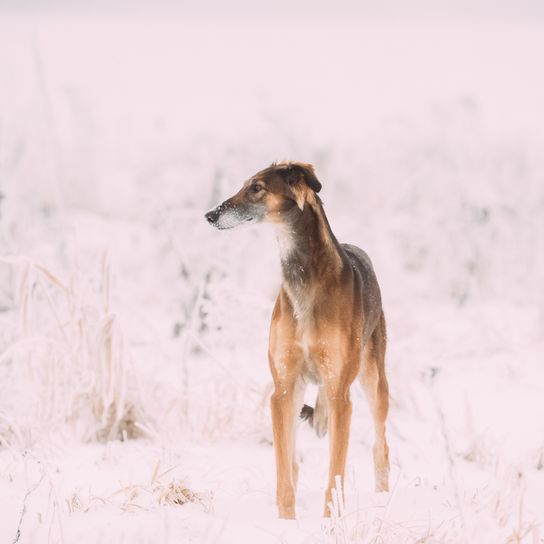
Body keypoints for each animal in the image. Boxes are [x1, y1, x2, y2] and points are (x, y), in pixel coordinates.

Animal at [206, 162, 388, 520]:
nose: (210, 215)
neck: (305, 278)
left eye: (257, 187)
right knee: (292, 460)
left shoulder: (339, 393)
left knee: (380, 446)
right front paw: (286, 521)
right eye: (245, 185)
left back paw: (385, 499)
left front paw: (331, 521)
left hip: (374, 381)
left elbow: (335, 471)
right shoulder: (283, 389)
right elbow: (284, 470)